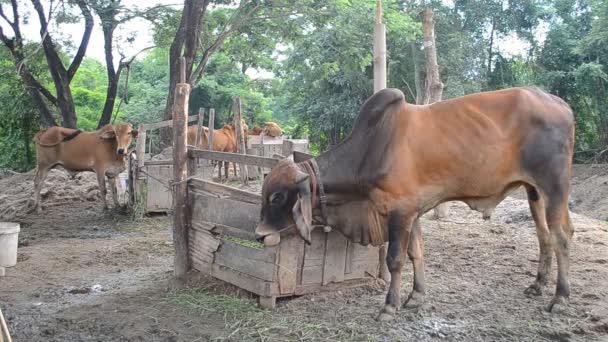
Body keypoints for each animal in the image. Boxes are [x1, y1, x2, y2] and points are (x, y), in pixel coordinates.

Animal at [255, 87, 576, 320]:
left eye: (277, 196)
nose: (258, 234)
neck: (372, 149)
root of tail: (561, 104)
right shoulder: (415, 212)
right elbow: (416, 253)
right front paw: (416, 297)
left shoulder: (401, 211)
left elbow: (395, 259)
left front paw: (389, 307)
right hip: (535, 192)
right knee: (546, 236)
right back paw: (537, 285)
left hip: (555, 187)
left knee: (561, 237)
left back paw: (560, 298)